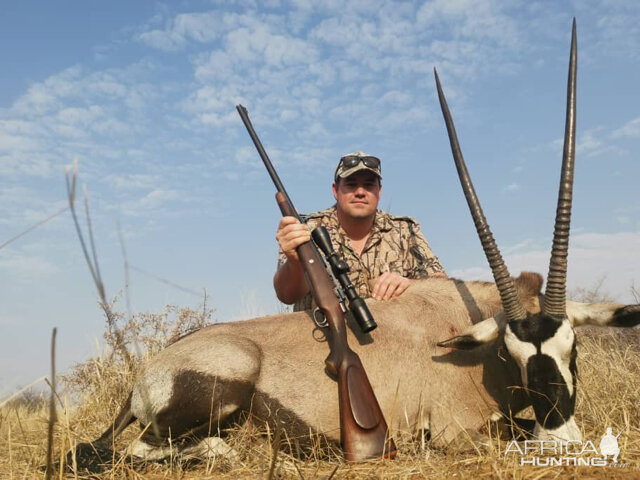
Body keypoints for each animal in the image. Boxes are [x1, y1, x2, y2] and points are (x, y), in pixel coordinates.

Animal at [67, 20, 636, 470]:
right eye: (511, 355)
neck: (464, 338)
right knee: (130, 451)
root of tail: (144, 375)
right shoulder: (454, 430)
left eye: (574, 350)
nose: (560, 439)